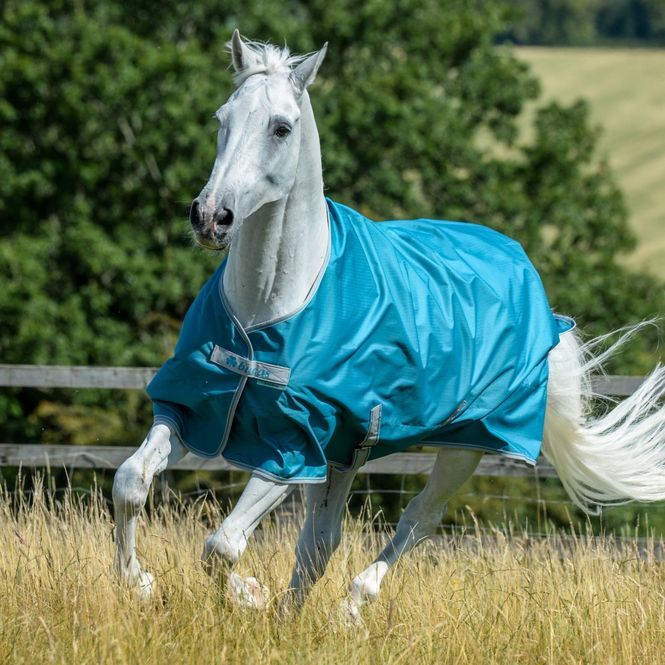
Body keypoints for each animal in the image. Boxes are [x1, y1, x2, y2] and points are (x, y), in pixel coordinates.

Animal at [113, 31, 665, 624]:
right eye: (222, 118)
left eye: (281, 128)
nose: (211, 217)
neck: (267, 310)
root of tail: (526, 274)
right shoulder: (198, 410)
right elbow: (130, 482)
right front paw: (140, 584)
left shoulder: (292, 446)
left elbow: (222, 546)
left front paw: (247, 594)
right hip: (346, 455)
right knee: (321, 539)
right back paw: (292, 614)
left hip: (464, 446)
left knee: (418, 519)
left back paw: (351, 606)